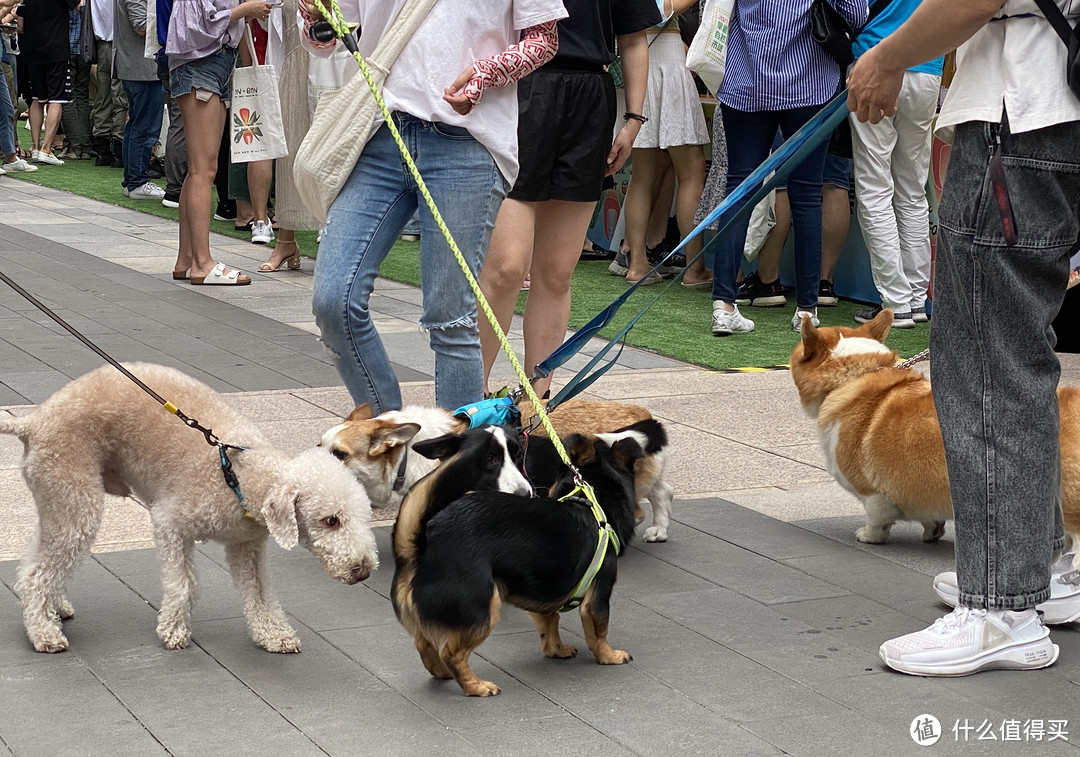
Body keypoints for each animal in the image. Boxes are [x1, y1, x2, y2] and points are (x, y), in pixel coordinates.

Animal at [2, 362, 382, 652]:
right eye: (331, 520)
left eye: (364, 519)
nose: (363, 572)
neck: (241, 477)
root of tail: (32, 421)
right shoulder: (169, 523)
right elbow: (183, 584)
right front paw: (173, 632)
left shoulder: (246, 545)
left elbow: (260, 593)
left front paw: (275, 635)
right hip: (74, 498)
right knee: (38, 573)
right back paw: (45, 633)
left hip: (56, 499)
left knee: (34, 558)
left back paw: (53, 609)